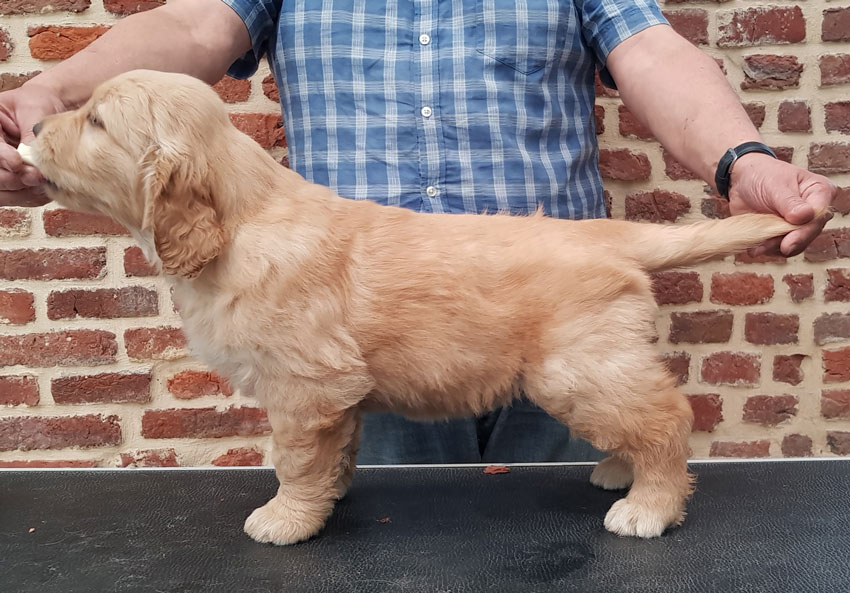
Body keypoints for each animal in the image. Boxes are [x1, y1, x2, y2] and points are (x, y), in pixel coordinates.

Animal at [26, 70, 808, 544]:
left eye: (95, 122)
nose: (30, 131)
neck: (242, 219)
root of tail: (612, 235)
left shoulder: (304, 385)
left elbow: (293, 460)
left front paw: (286, 518)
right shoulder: (334, 393)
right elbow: (334, 453)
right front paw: (330, 497)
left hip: (577, 368)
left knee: (669, 419)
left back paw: (650, 505)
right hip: (600, 362)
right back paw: (623, 470)